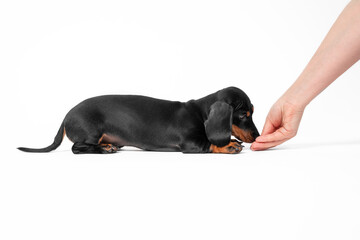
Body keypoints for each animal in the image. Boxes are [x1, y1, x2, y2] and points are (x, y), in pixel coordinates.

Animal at [18, 86, 258, 154]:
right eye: (243, 115)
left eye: (252, 112)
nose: (257, 136)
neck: (201, 114)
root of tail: (66, 115)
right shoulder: (191, 144)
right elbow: (209, 144)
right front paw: (228, 145)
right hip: (91, 131)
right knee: (77, 148)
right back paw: (104, 149)